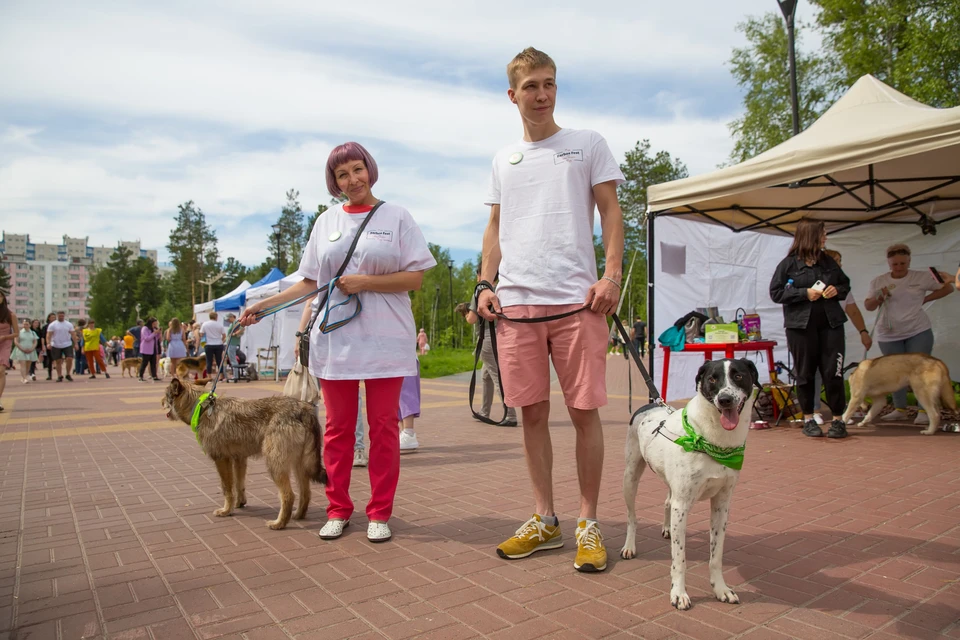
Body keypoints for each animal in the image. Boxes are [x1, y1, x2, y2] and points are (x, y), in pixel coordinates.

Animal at [163, 376, 328, 528]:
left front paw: (226, 511)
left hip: (275, 466)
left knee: (289, 496)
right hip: (299, 466)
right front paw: (239, 504)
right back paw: (298, 515)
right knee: (306, 494)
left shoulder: (221, 459)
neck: (203, 409)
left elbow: (227, 489)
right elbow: (239, 485)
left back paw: (279, 524)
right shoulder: (239, 459)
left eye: (165, 395)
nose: (160, 402)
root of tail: (304, 410)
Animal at [620, 360, 760, 608]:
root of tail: (649, 405)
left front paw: (721, 589)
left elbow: (716, 556)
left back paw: (666, 528)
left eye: (739, 375)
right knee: (632, 517)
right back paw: (629, 546)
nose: (725, 399)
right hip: (630, 476)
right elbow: (679, 558)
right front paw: (678, 593)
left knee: (667, 501)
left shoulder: (721, 504)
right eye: (712, 378)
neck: (715, 444)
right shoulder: (683, 505)